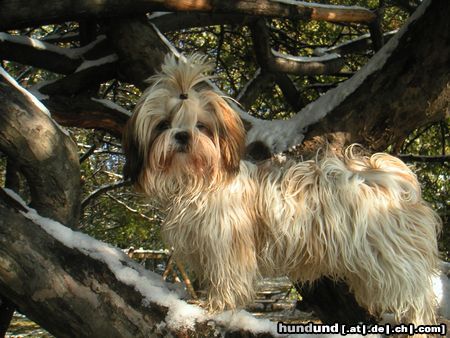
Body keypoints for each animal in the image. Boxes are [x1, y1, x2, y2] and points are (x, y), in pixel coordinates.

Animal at [121, 53, 442, 328]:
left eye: (201, 125)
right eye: (163, 125)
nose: (183, 135)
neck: (197, 180)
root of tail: (386, 176)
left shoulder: (226, 244)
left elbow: (226, 277)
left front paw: (216, 305)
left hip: (390, 257)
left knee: (412, 293)